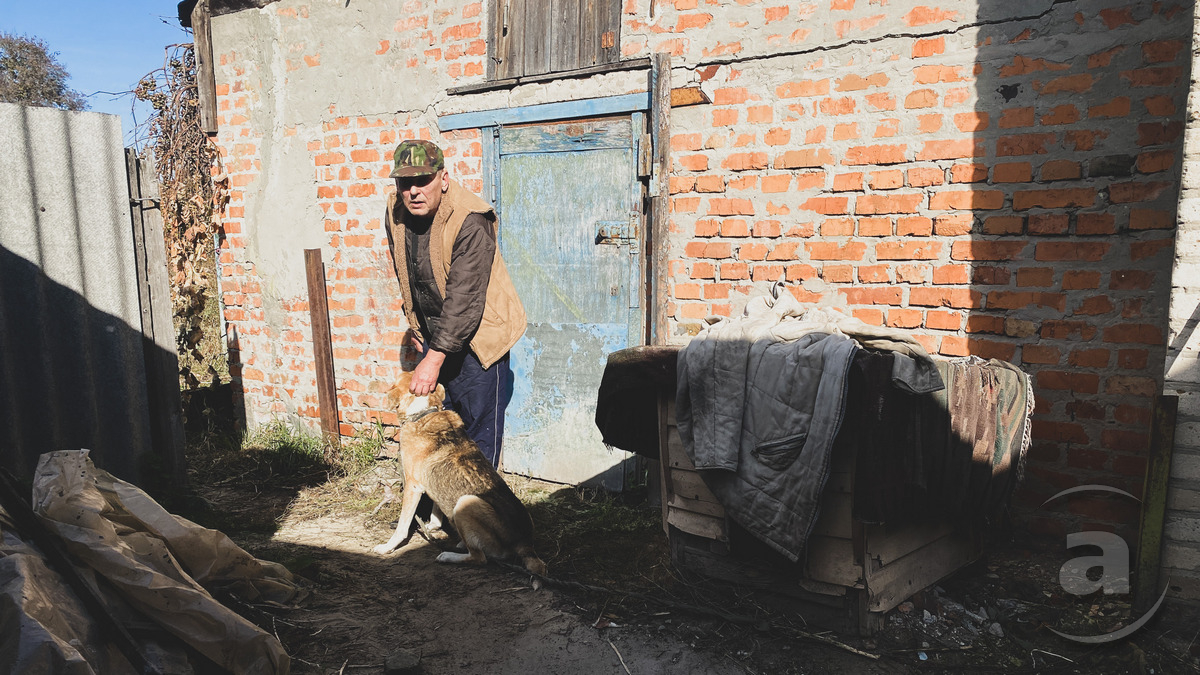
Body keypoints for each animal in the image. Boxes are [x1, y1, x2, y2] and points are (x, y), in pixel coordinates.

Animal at [372, 367, 547, 571]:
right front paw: (432, 526)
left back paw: (448, 555)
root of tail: (525, 545)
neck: (423, 412)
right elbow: (436, 510)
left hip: (466, 502)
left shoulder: (413, 487)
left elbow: (402, 527)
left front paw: (387, 547)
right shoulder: (433, 482)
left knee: (479, 558)